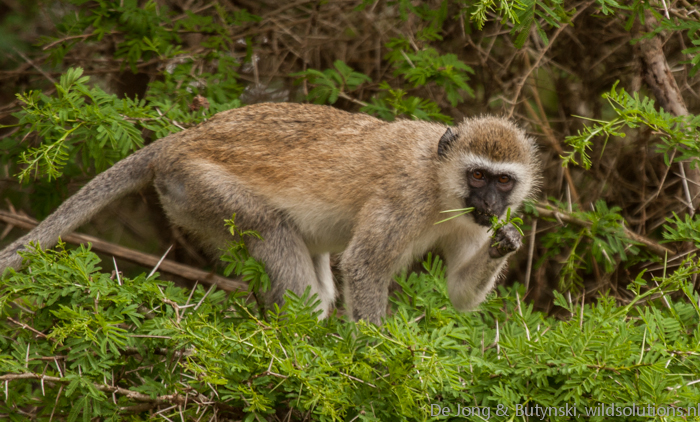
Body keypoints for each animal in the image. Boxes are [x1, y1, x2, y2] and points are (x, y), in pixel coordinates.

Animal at [0, 103, 540, 324]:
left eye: (503, 181)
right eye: (477, 176)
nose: (491, 205)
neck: (439, 180)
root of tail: (178, 143)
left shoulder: (467, 222)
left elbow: (458, 292)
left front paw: (508, 242)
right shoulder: (405, 197)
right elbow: (365, 266)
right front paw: (377, 356)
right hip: (199, 191)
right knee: (277, 241)